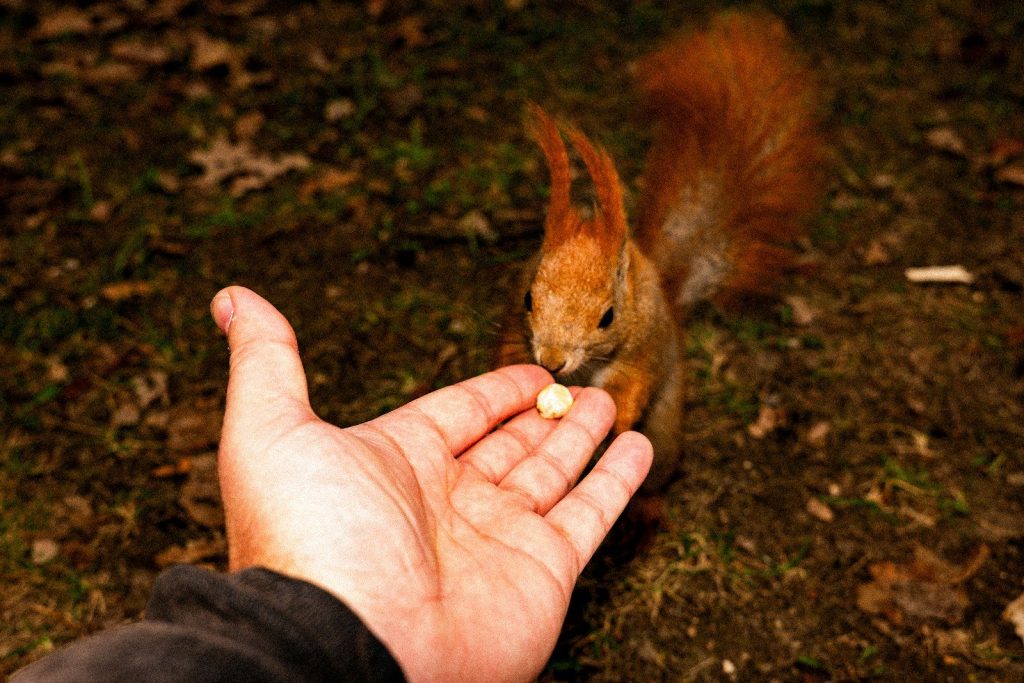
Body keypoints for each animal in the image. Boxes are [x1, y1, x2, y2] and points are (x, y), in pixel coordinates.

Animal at [497, 13, 823, 491]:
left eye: (608, 317)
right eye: (528, 300)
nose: (552, 361)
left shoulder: (644, 349)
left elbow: (632, 387)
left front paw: (614, 425)